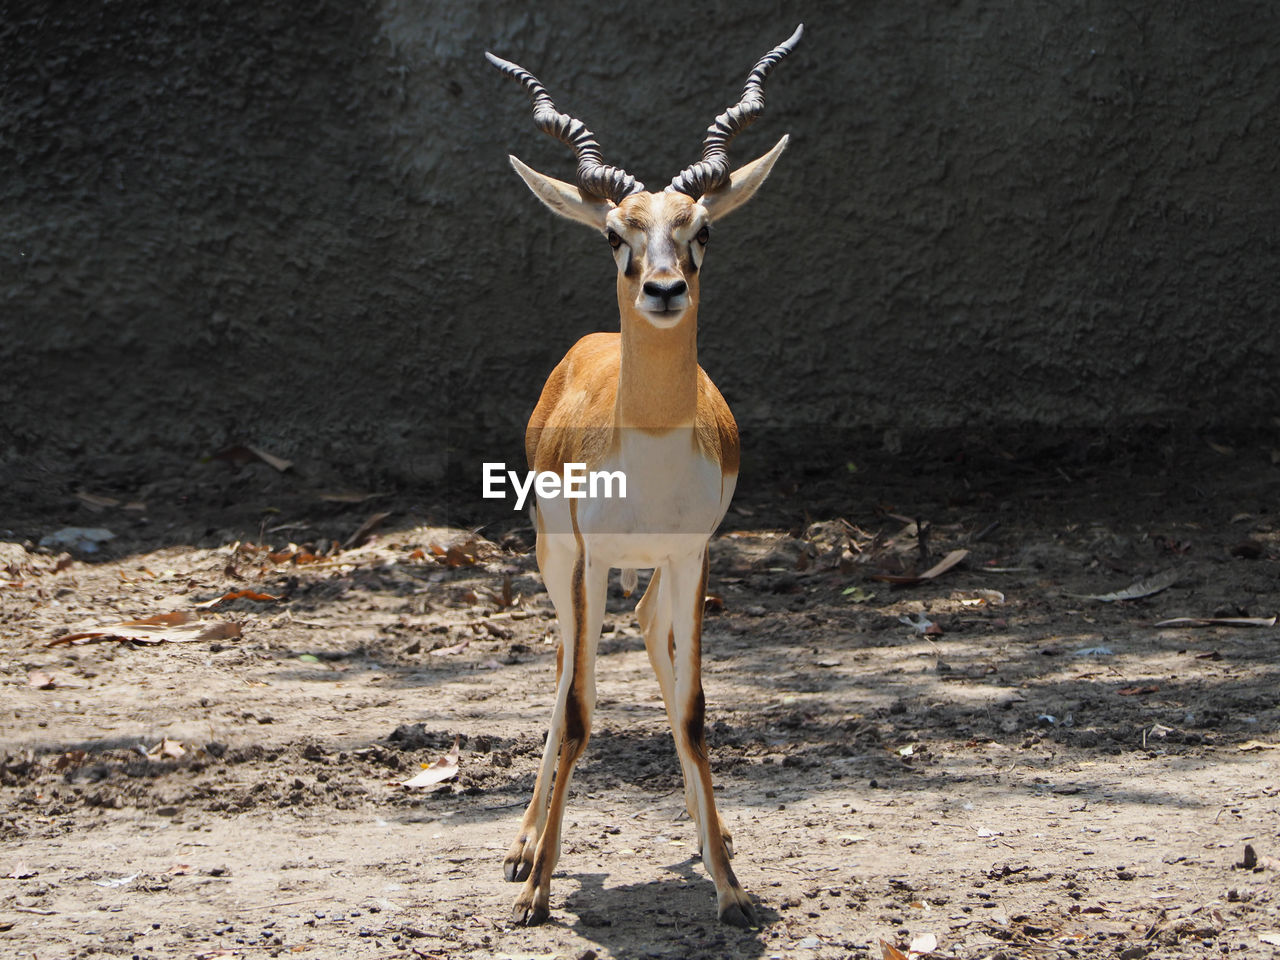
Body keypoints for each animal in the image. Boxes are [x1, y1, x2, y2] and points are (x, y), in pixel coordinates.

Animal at [486, 26, 798, 926]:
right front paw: (538, 889)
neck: (651, 449)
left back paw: (711, 835)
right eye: (614, 235)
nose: (662, 289)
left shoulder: (694, 554)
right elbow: (579, 708)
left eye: (702, 230)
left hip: (654, 570)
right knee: (568, 665)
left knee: (650, 635)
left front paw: (731, 887)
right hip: (558, 560)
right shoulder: (589, 558)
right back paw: (523, 851)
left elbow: (693, 713)